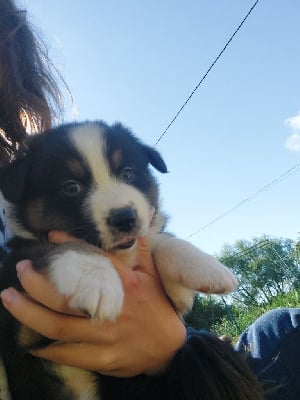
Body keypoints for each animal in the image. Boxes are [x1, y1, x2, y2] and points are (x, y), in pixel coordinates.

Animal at [0, 120, 238, 398]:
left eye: (128, 174)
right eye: (71, 187)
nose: (125, 218)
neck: (119, 256)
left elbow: (157, 238)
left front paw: (202, 268)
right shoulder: (21, 325)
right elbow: (49, 246)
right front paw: (96, 281)